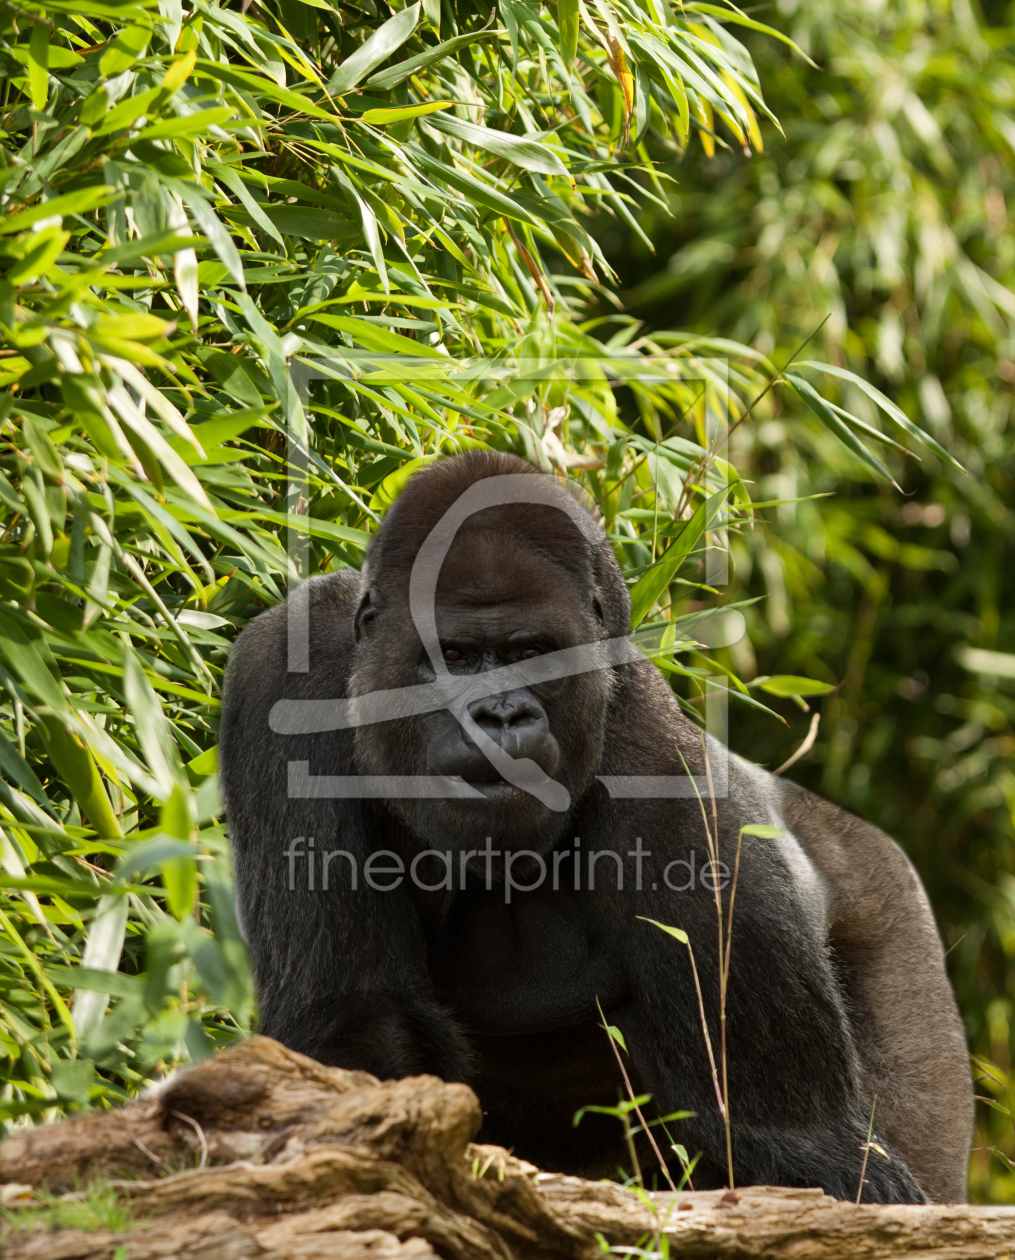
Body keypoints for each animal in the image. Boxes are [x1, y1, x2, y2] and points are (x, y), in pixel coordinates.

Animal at [219, 451, 972, 1199]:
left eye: (532, 654)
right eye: (454, 656)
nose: (500, 715)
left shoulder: (682, 796)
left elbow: (811, 1152)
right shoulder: (288, 670)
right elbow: (358, 1018)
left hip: (891, 907)